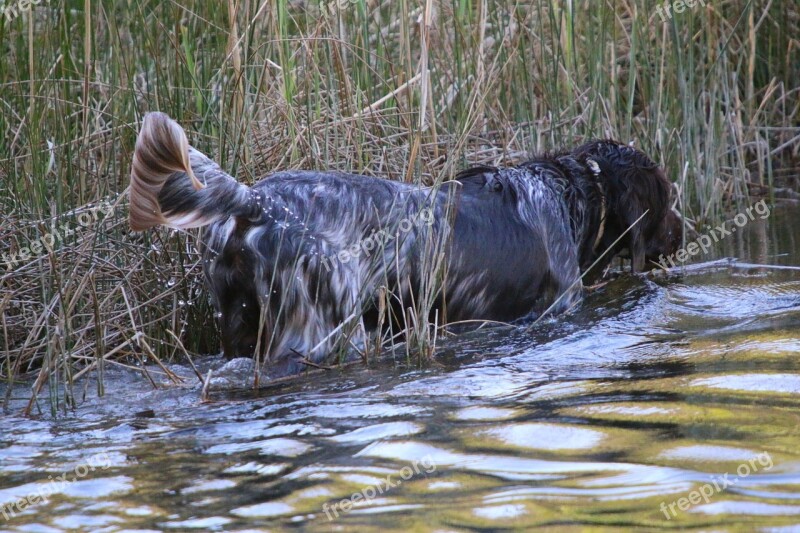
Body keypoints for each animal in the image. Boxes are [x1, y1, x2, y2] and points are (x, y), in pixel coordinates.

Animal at [131, 111, 680, 374]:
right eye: (669, 195)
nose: (683, 232)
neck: (569, 193)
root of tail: (256, 202)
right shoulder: (559, 303)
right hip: (328, 332)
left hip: (239, 325)